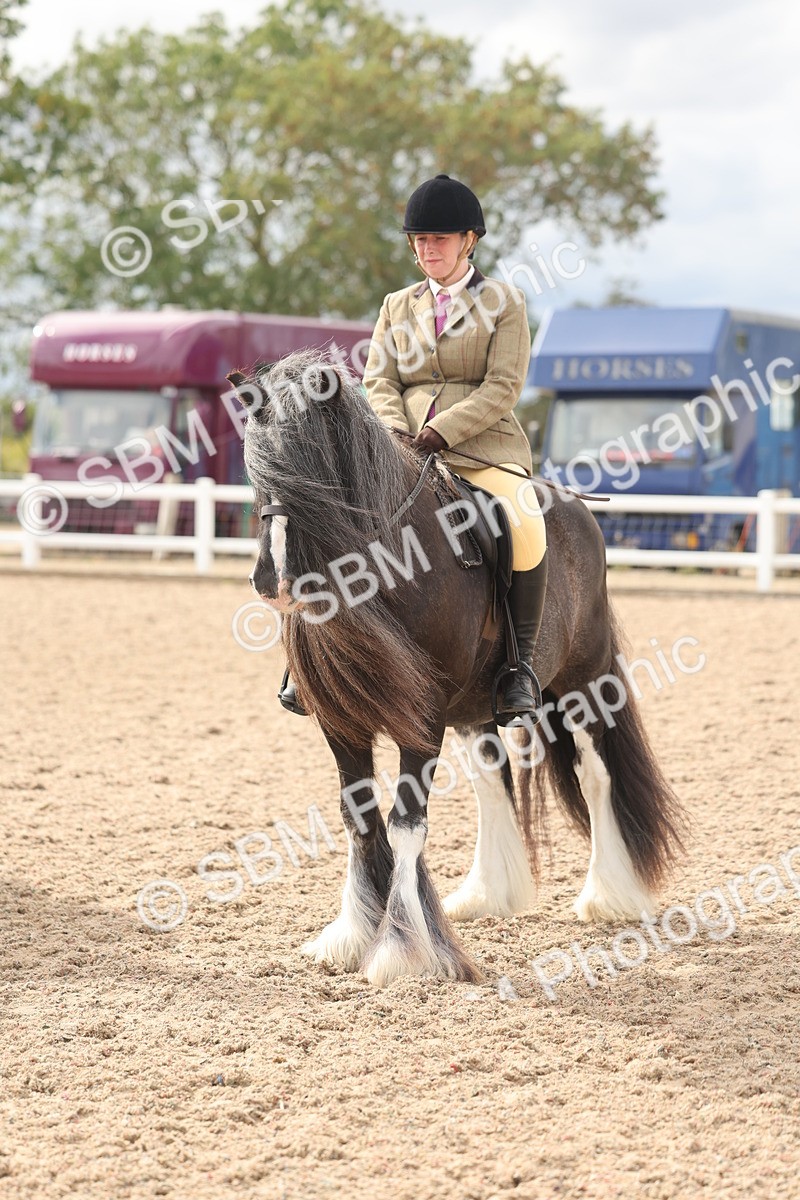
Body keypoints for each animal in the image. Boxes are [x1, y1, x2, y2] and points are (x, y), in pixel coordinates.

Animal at [230, 350, 686, 988]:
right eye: (254, 464)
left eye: (312, 466)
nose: (271, 580)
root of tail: (578, 512)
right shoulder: (341, 721)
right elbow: (358, 816)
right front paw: (352, 936)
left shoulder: (421, 720)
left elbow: (405, 824)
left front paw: (402, 952)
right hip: (475, 707)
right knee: (492, 780)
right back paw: (488, 894)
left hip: (585, 684)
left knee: (597, 776)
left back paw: (608, 897)